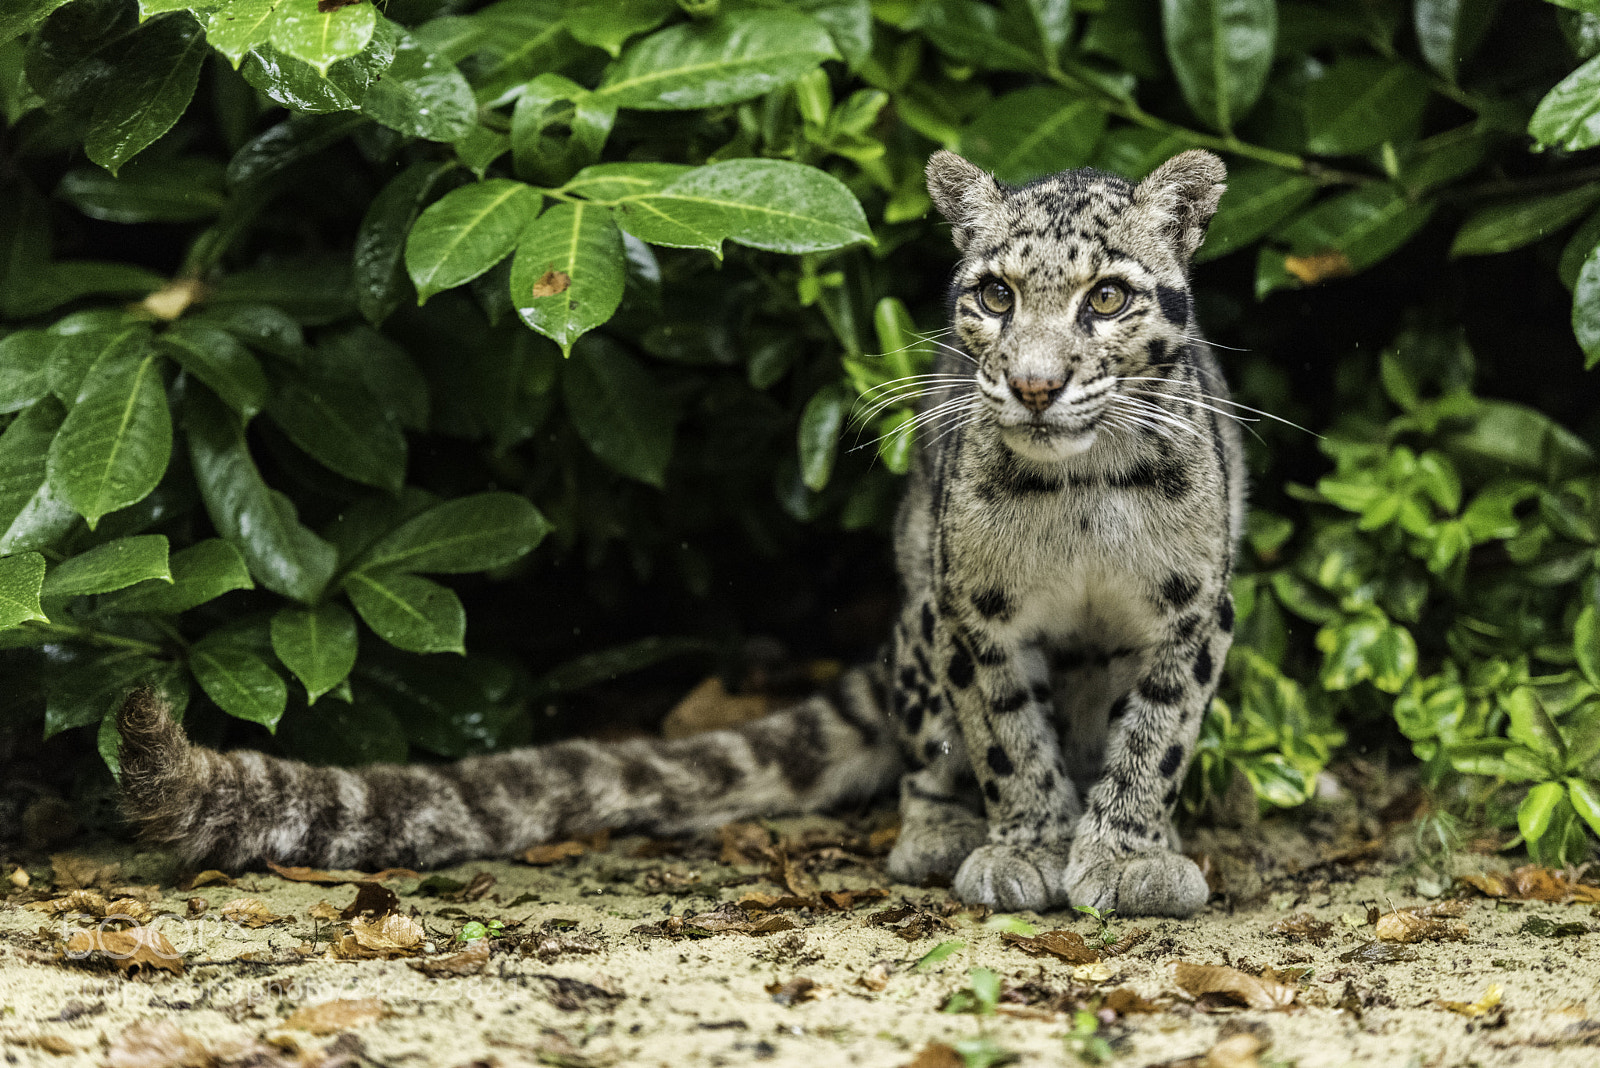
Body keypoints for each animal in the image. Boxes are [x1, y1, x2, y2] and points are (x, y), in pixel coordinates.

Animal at [116, 147, 1241, 918]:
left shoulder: (1193, 614)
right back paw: (937, 831)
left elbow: (1155, 735)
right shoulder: (974, 612)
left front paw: (1130, 854)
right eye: (995, 294)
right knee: (928, 735)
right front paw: (1027, 845)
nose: (1035, 383)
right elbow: (1008, 734)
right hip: (918, 618)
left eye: (1107, 296)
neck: (1082, 499)